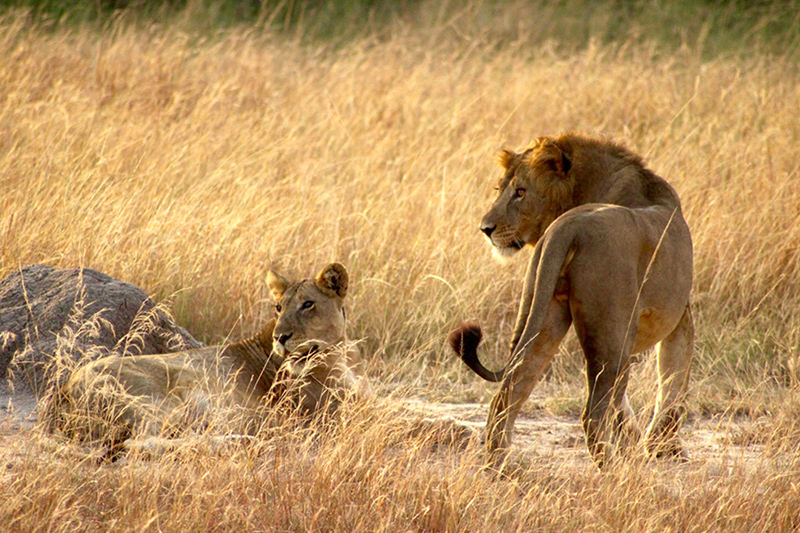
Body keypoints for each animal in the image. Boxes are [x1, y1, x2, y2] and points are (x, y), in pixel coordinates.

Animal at [47, 264, 472, 456]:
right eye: (278, 307)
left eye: (307, 305)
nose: (281, 337)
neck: (334, 357)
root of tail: (61, 395)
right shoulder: (339, 418)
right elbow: (415, 420)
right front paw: (465, 431)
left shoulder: (362, 401)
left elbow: (415, 408)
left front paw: (464, 422)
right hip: (162, 396)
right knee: (139, 443)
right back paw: (244, 440)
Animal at [450, 134, 692, 470]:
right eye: (501, 190)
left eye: (520, 192)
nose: (485, 229)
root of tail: (569, 226)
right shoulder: (679, 314)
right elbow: (672, 380)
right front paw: (662, 447)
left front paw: (639, 441)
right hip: (612, 337)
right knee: (593, 414)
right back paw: (614, 470)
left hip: (545, 316)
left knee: (507, 395)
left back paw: (499, 466)